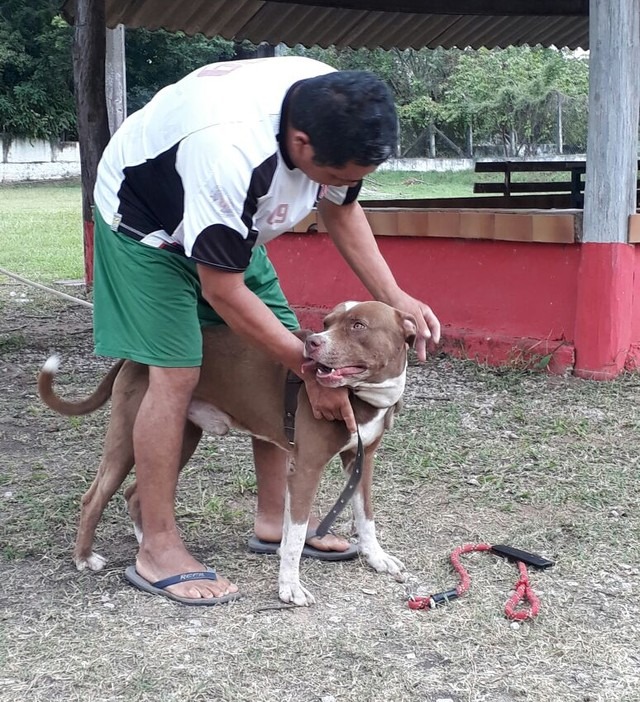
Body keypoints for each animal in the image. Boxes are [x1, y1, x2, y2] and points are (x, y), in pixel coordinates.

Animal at [38, 300, 416, 608]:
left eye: (358, 325)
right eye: (327, 322)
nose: (313, 343)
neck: (361, 398)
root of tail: (134, 358)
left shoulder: (362, 462)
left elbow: (366, 517)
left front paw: (377, 558)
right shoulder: (306, 467)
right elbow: (295, 537)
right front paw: (290, 587)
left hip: (182, 438)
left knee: (136, 494)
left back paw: (148, 547)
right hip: (128, 438)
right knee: (95, 496)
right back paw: (86, 558)